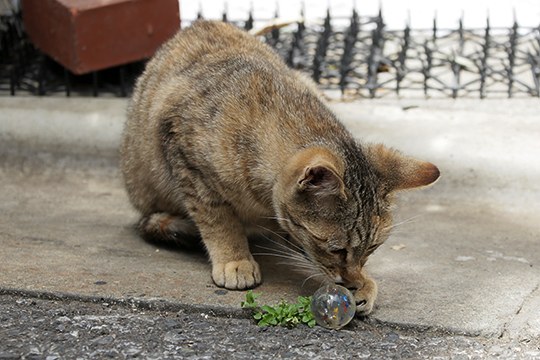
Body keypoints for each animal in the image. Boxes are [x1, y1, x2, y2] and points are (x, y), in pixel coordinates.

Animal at [119, 20, 438, 316]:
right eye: (337, 249)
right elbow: (217, 218)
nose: (350, 281)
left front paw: (364, 282)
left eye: (371, 248)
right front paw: (234, 258)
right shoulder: (186, 159)